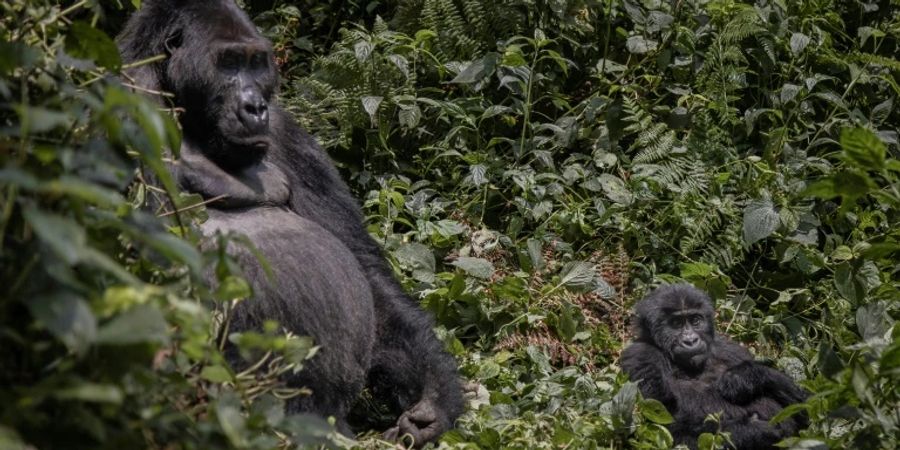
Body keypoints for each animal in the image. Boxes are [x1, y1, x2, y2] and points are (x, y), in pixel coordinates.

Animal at [118, 0, 464, 442]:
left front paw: (434, 397)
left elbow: (364, 268)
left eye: (255, 63)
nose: (255, 106)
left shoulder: (285, 131)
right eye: (229, 62)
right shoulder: (126, 97)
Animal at [620, 286, 808, 448]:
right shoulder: (640, 356)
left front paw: (745, 376)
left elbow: (805, 406)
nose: (691, 340)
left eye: (695, 320)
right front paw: (756, 431)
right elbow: (664, 426)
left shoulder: (730, 349)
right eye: (676, 323)